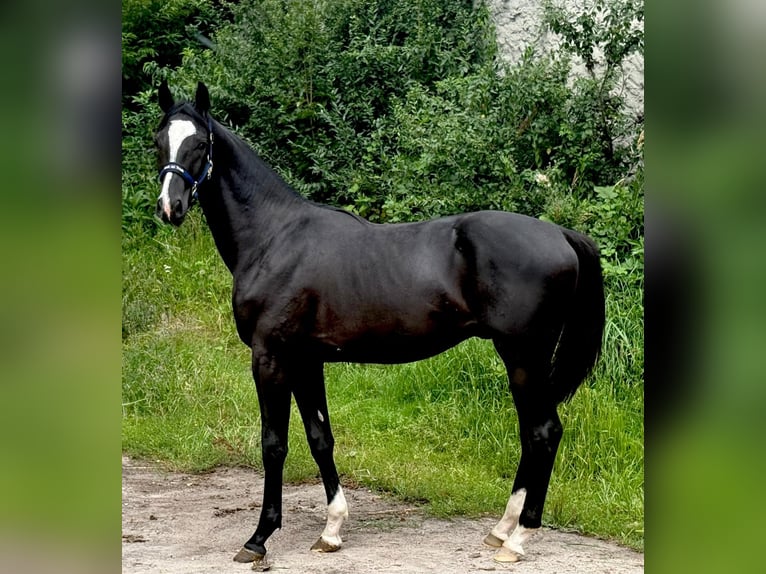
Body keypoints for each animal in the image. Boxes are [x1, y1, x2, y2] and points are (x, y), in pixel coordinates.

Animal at [153, 81, 605, 568]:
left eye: (200, 144)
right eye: (160, 141)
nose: (170, 207)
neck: (274, 237)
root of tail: (561, 234)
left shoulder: (271, 356)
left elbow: (273, 444)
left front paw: (259, 538)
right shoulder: (306, 359)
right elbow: (320, 437)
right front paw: (331, 530)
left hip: (524, 355)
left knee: (544, 432)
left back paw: (518, 538)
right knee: (531, 433)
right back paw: (502, 529)